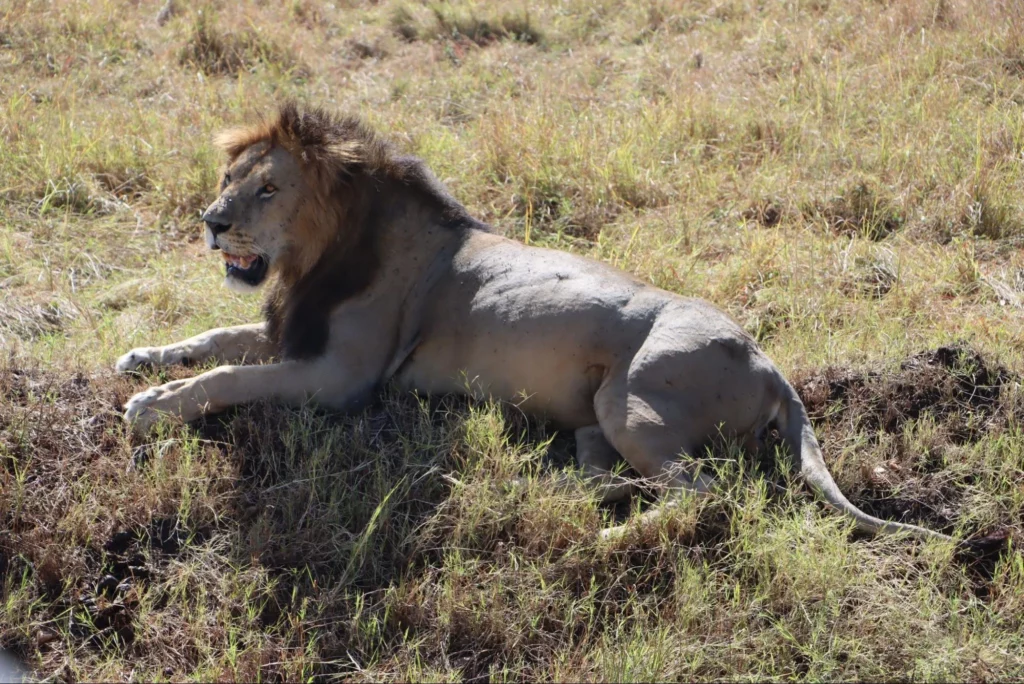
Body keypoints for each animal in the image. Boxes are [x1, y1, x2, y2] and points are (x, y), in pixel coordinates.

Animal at [119, 101, 950, 540]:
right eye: (228, 177)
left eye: (267, 189)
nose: (211, 222)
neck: (322, 256)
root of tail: (772, 365)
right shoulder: (295, 329)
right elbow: (216, 340)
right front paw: (141, 358)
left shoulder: (340, 377)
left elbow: (232, 376)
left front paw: (152, 406)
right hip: (599, 419)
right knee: (608, 473)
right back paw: (547, 489)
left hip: (633, 400)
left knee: (702, 495)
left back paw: (607, 537)